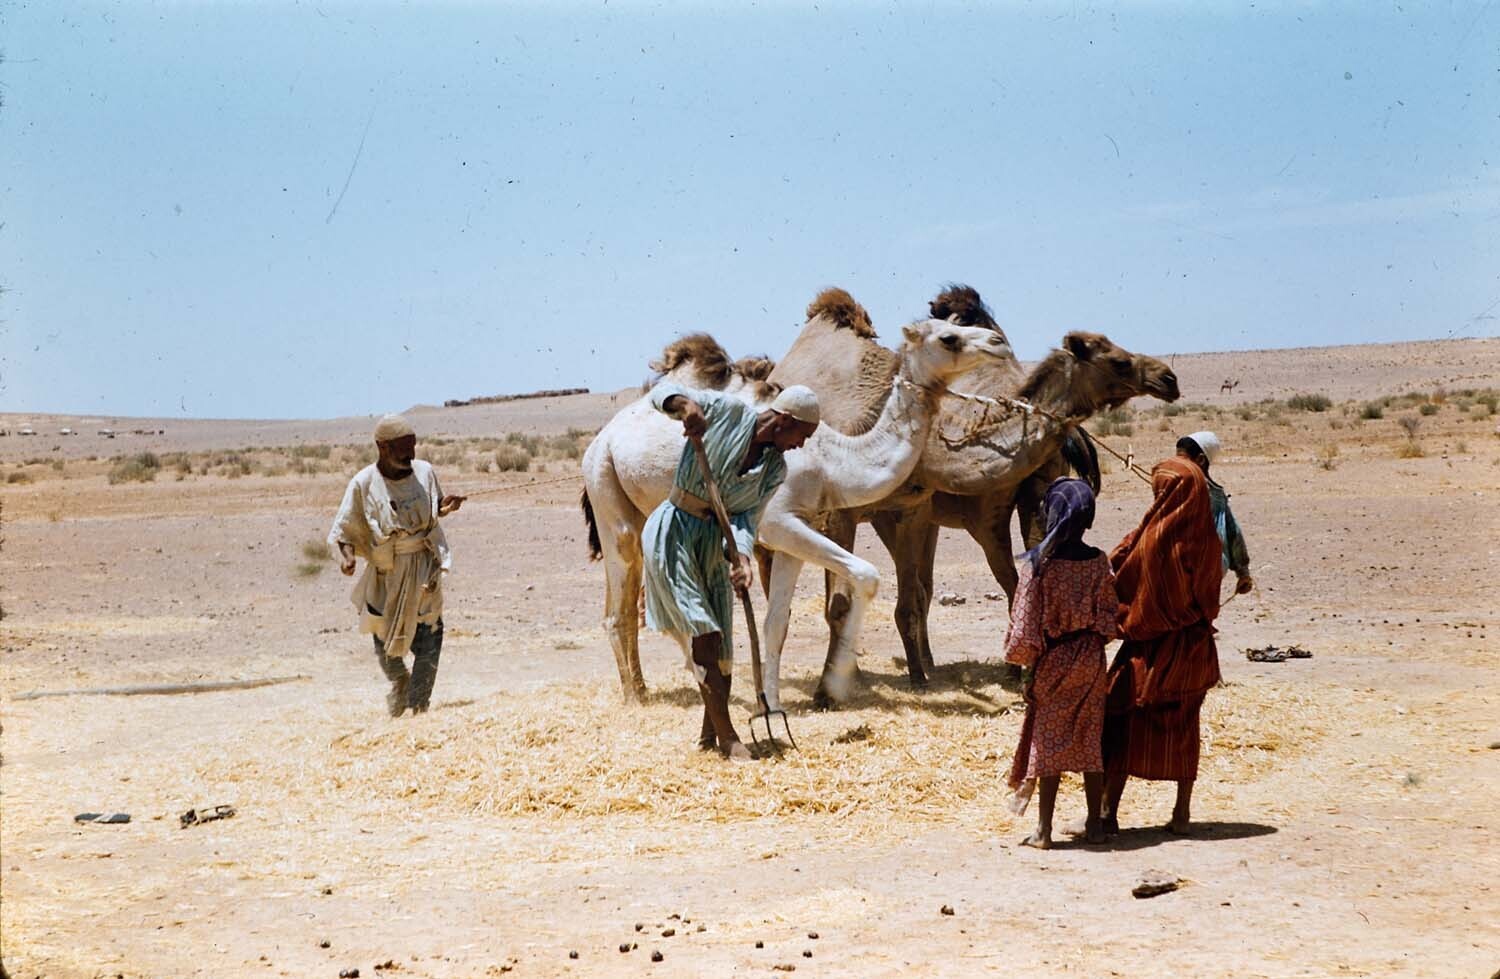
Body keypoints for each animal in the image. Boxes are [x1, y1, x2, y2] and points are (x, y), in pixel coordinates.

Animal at [580, 289, 1011, 704]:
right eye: (949, 336)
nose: (999, 342)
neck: (831, 459)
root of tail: (602, 437)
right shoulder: (780, 522)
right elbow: (865, 576)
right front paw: (834, 684)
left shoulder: (792, 535)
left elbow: (776, 623)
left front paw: (773, 701)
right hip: (606, 488)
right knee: (624, 604)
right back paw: (640, 696)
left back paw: (655, 686)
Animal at [767, 285, 1181, 692]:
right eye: (1118, 361)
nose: (1168, 378)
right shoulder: (845, 513)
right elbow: (842, 602)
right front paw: (829, 688)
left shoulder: (913, 512)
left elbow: (913, 596)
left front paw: (917, 676)